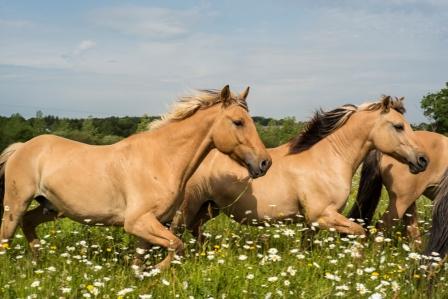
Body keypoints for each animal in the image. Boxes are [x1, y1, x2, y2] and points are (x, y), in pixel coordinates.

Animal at [0, 85, 272, 270]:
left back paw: (37, 262)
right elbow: (177, 245)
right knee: (7, 234)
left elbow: (141, 260)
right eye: (238, 122)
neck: (161, 160)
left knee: (28, 223)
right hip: (16, 203)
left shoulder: (151, 224)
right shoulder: (137, 222)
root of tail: (22, 147)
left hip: (52, 207)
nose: (265, 163)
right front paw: (158, 268)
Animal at [170, 97, 428, 240]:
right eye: (398, 126)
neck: (327, 160)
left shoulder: (311, 223)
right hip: (187, 209)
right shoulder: (322, 215)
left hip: (208, 209)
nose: (423, 159)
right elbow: (359, 232)